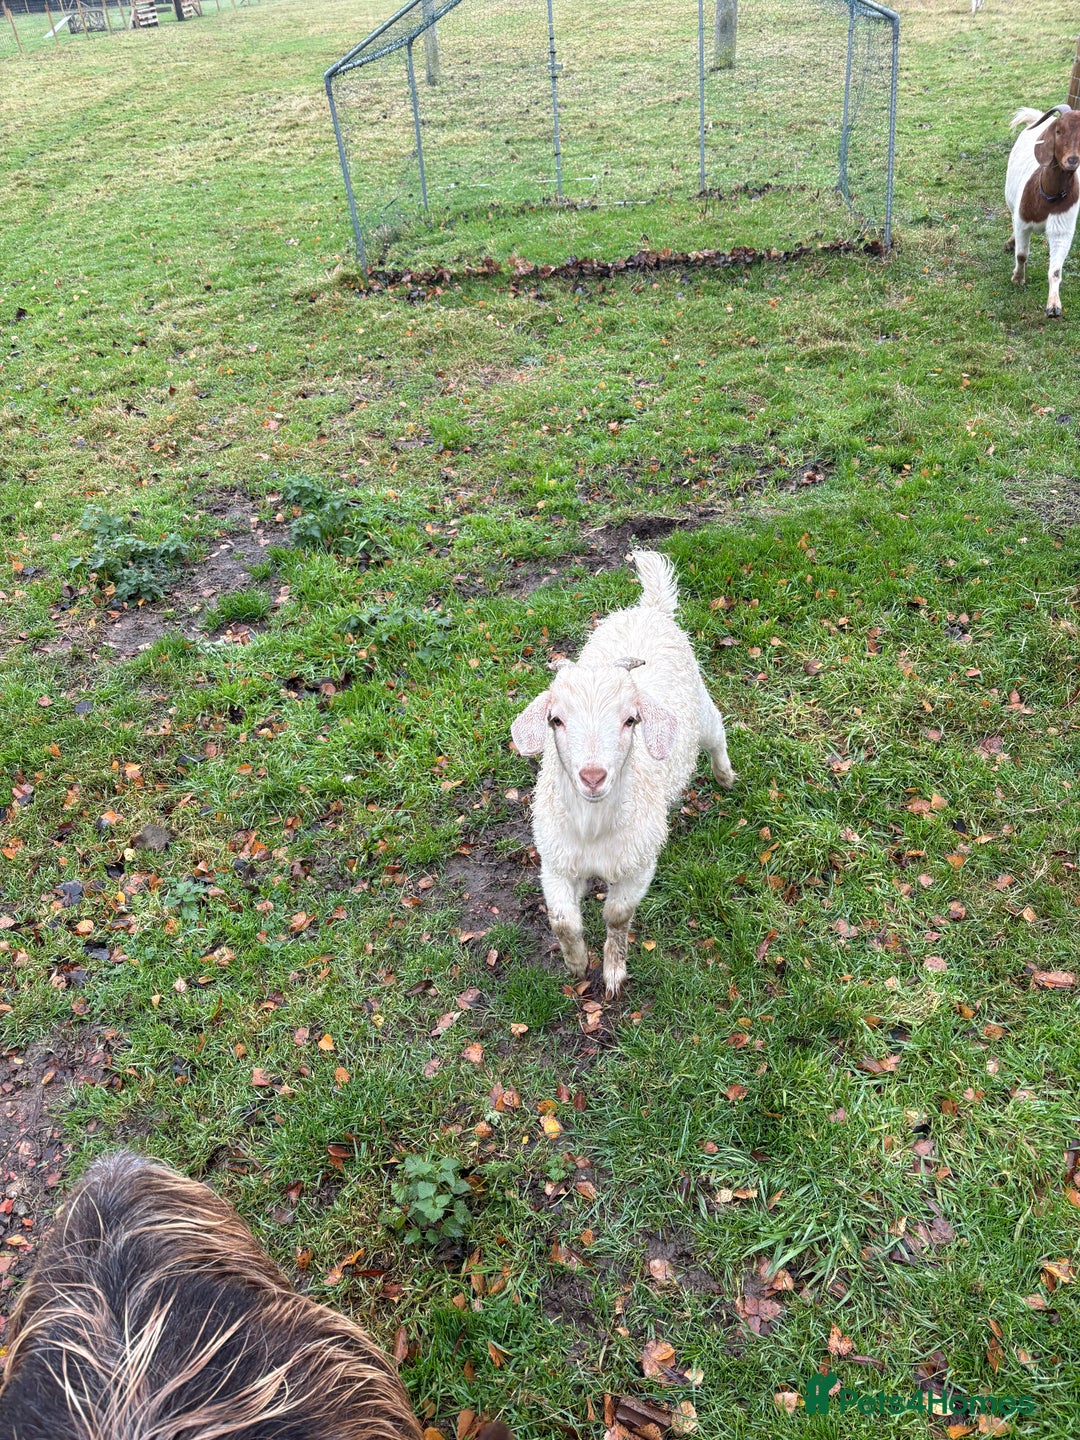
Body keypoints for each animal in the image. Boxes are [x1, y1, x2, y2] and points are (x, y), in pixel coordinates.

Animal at [511, 551, 736, 997]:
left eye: (631, 720)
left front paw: (614, 970)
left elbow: (617, 915)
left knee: (717, 733)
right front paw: (577, 963)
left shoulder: (638, 865)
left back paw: (725, 776)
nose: (593, 776)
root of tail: (649, 609)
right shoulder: (556, 863)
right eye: (555, 720)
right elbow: (563, 920)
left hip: (700, 709)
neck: (593, 830)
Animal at [1007, 105, 1080, 317]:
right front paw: (1018, 278)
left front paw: (1054, 306)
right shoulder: (1023, 222)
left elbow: (1055, 270)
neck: (1049, 196)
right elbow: (1022, 255)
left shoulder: (1063, 229)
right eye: (1058, 131)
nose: (1072, 160)